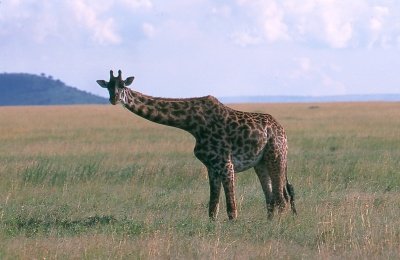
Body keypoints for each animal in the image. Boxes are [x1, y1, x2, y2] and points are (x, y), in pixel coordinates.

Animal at [97, 69, 296, 219]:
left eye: (123, 86)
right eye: (108, 87)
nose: (114, 99)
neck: (193, 124)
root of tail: (282, 130)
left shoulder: (226, 165)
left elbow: (231, 209)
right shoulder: (212, 167)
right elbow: (212, 208)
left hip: (276, 156)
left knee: (282, 200)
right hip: (260, 163)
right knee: (271, 199)